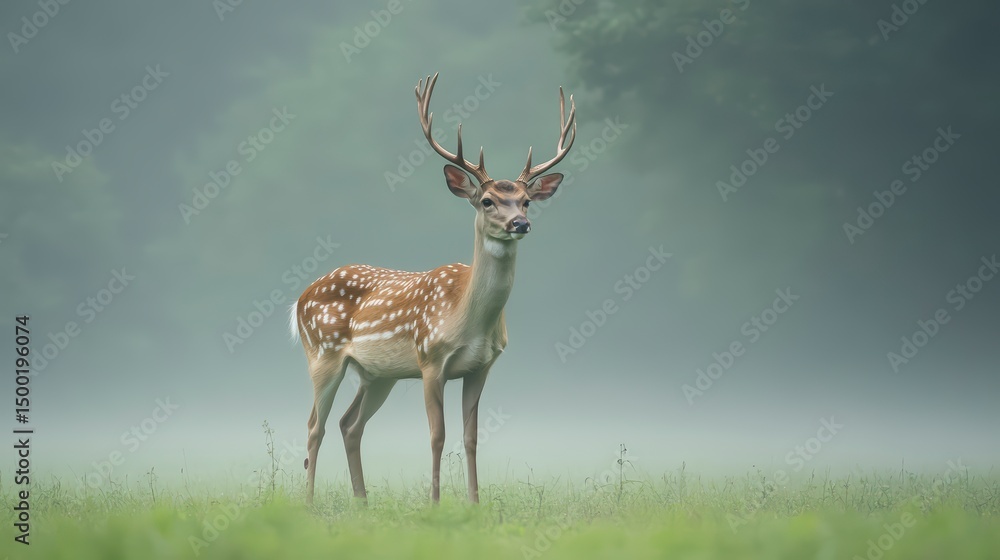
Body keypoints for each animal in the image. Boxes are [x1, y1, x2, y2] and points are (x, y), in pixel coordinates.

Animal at [290, 72, 576, 504]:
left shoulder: (482, 366)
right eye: (487, 200)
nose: (520, 224)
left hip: (378, 374)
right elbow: (437, 435)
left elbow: (472, 437)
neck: (467, 318)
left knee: (349, 424)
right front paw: (436, 502)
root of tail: (300, 298)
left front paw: (474, 502)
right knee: (314, 426)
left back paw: (362, 501)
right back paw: (307, 504)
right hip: (322, 354)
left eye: (527, 201)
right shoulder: (430, 360)